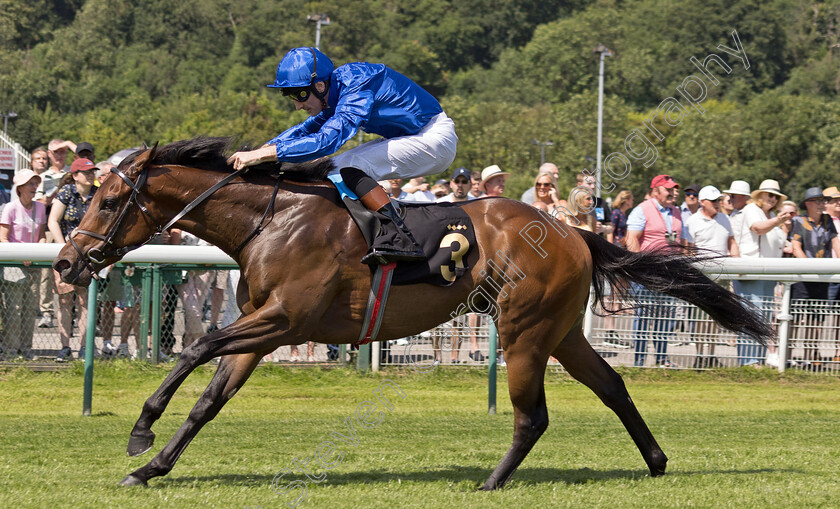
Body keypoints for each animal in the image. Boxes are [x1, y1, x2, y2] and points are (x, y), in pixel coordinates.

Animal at [54, 136, 776, 488]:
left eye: (110, 199)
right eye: (80, 195)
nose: (65, 262)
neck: (272, 220)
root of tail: (573, 230)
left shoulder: (286, 318)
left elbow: (196, 348)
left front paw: (141, 430)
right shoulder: (265, 328)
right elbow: (208, 398)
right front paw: (150, 466)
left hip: (524, 328)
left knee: (533, 414)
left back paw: (490, 483)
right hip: (561, 330)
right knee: (613, 385)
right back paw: (654, 460)